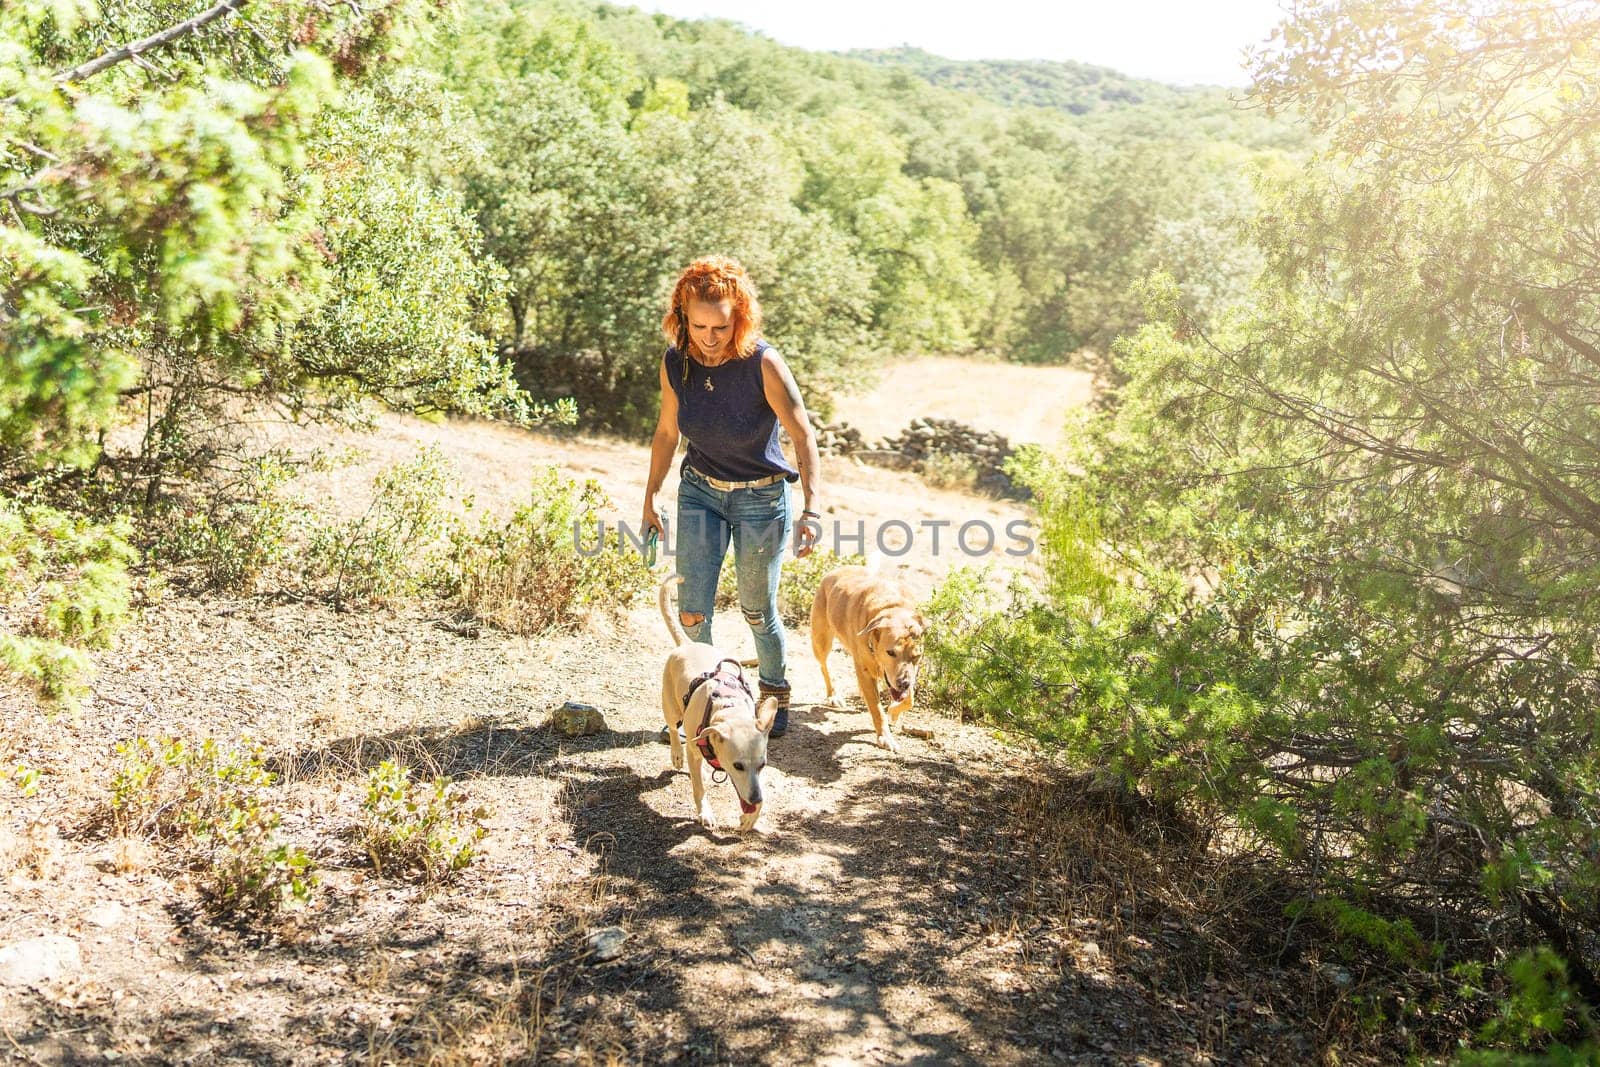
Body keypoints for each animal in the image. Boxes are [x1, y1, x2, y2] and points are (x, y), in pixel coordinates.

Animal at [812, 566, 928, 751]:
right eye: (890, 652)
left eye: (917, 655)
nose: (904, 683)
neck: (890, 607)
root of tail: (835, 570)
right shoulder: (866, 672)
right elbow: (877, 709)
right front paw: (885, 737)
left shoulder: (910, 673)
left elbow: (909, 699)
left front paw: (893, 712)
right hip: (821, 641)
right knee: (824, 666)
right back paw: (833, 695)